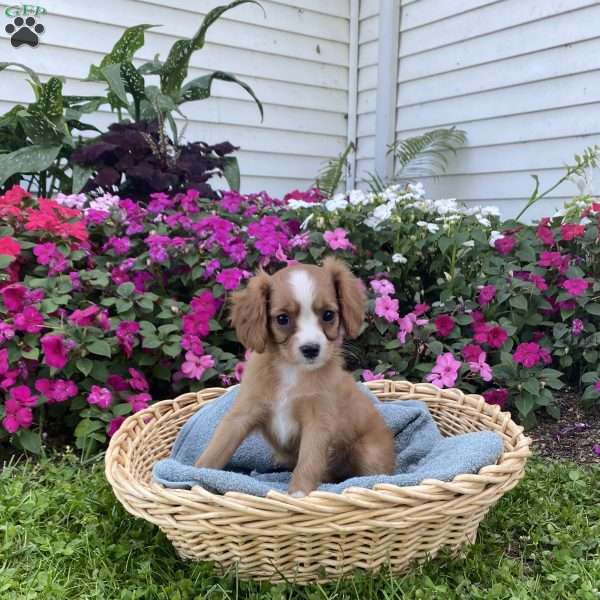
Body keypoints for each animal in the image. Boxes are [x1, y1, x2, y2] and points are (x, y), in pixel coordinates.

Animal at [195, 258, 396, 496]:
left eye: (328, 315)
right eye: (282, 319)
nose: (311, 349)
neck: (291, 370)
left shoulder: (317, 423)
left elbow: (308, 461)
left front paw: (298, 494)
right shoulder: (243, 412)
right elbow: (218, 446)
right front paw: (193, 473)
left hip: (369, 452)